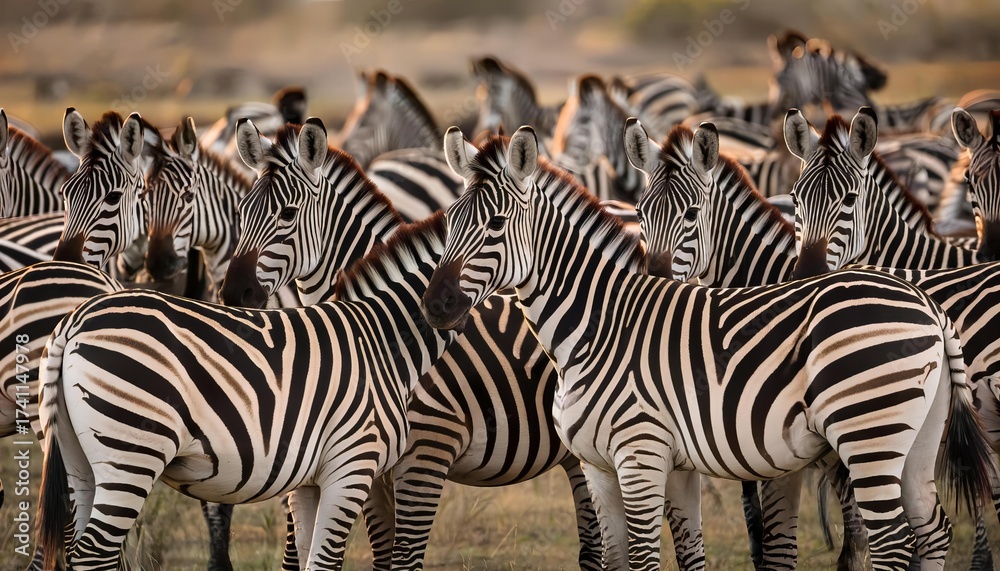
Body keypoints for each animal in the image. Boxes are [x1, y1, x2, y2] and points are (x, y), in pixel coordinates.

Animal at [216, 118, 610, 570]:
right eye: (242, 212)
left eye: (287, 214)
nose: (234, 293)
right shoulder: (368, 462)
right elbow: (381, 554)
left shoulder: (424, 450)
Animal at [422, 126, 993, 571]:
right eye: (450, 220)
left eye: (496, 225)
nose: (436, 304)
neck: (595, 327)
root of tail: (926, 303)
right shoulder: (604, 467)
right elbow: (623, 558)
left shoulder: (641, 454)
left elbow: (648, 559)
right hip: (916, 441)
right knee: (932, 531)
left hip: (867, 431)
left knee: (893, 541)